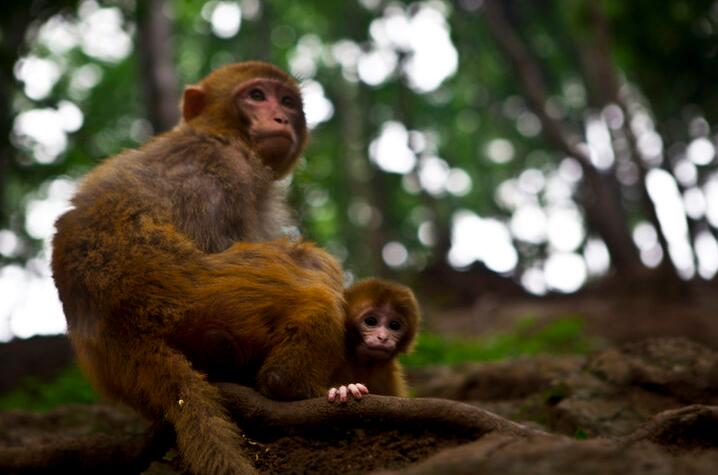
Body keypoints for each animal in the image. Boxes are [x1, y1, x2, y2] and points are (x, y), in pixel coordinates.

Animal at [50, 61, 346, 474]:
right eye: (257, 96)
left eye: (287, 101)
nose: (281, 117)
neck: (219, 135)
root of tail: (123, 332)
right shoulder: (221, 170)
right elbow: (217, 241)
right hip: (207, 300)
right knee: (314, 276)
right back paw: (288, 384)